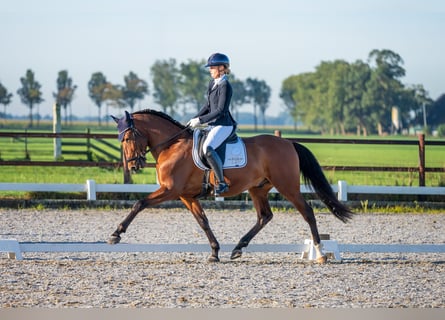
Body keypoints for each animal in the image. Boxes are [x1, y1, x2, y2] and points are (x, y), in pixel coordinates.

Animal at [107, 109, 350, 264]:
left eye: (128, 138)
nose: (134, 165)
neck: (172, 145)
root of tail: (288, 143)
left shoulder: (170, 190)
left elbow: (139, 203)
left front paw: (116, 234)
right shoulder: (186, 196)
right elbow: (203, 221)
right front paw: (214, 252)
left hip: (287, 186)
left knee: (307, 212)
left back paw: (320, 253)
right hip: (257, 188)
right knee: (264, 216)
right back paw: (238, 248)